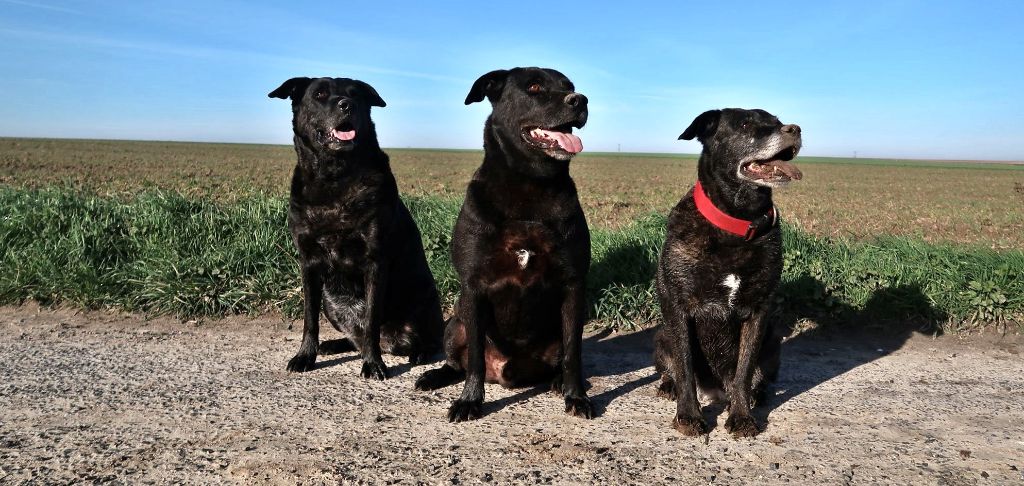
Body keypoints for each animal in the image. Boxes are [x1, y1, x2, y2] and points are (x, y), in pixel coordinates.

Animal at [413, 67, 598, 421]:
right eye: (535, 87)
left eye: (569, 86)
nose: (580, 100)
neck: (530, 185)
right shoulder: (473, 287)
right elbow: (473, 360)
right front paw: (469, 401)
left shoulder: (573, 285)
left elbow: (574, 353)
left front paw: (576, 396)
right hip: (455, 322)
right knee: (457, 362)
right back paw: (434, 376)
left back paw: (557, 382)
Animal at [655, 108, 798, 439]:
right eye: (745, 125)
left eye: (776, 119)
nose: (795, 129)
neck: (735, 224)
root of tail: (715, 391)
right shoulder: (678, 307)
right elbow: (684, 366)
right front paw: (688, 416)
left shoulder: (758, 311)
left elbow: (744, 371)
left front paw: (742, 416)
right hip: (661, 335)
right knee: (672, 369)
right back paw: (668, 386)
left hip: (772, 344)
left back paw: (755, 396)